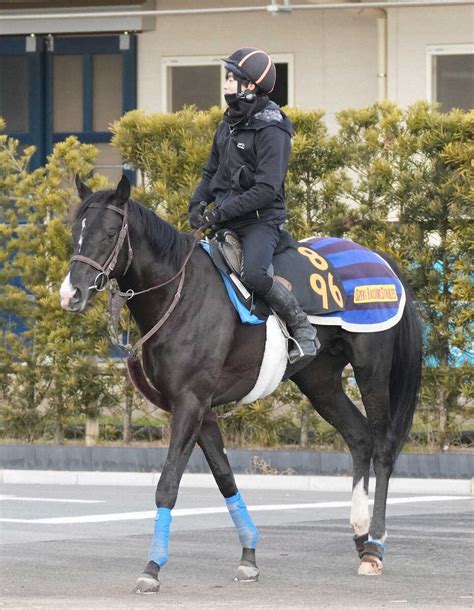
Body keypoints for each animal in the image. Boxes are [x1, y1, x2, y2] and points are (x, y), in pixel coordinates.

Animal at [60, 175, 422, 588]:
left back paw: (375, 544)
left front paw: (152, 567)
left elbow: (168, 484)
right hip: (320, 381)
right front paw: (249, 554)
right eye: (75, 232)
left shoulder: (191, 402)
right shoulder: (199, 408)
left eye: (108, 234)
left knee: (382, 448)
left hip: (371, 369)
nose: (70, 294)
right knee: (359, 437)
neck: (181, 293)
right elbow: (224, 477)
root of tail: (381, 260)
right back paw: (361, 537)